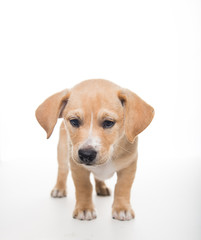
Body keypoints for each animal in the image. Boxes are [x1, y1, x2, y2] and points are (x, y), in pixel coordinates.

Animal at [35, 79, 155, 221]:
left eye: (108, 123)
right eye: (74, 121)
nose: (86, 154)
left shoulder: (129, 165)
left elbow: (122, 187)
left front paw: (122, 209)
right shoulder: (78, 168)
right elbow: (84, 187)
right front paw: (84, 209)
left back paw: (101, 187)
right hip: (63, 152)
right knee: (62, 170)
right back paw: (59, 188)